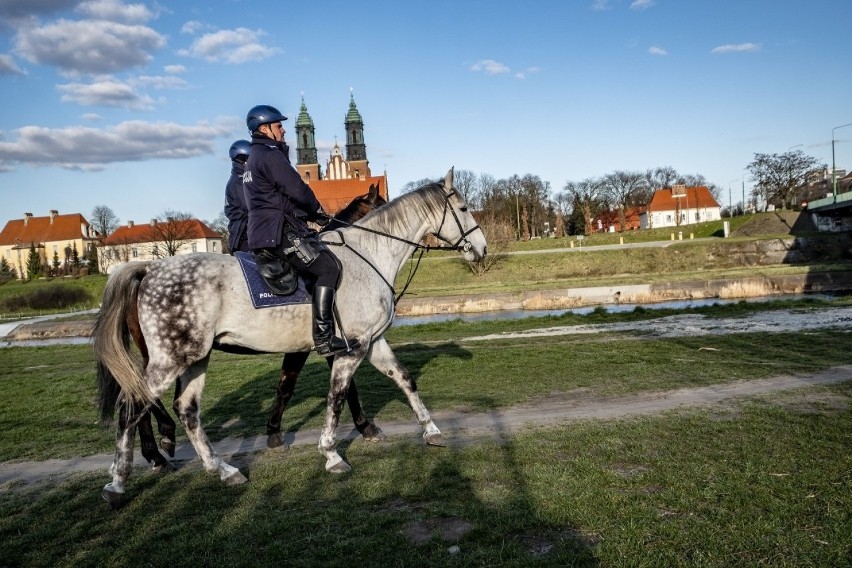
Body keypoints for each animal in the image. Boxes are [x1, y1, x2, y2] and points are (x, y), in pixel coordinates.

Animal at [129, 186, 386, 470]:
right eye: (383, 203)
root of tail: (146, 272)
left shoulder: (301, 346)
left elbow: (286, 386)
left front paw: (274, 433)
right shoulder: (329, 343)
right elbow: (342, 388)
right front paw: (365, 427)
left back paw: (156, 450)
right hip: (168, 355)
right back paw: (159, 444)